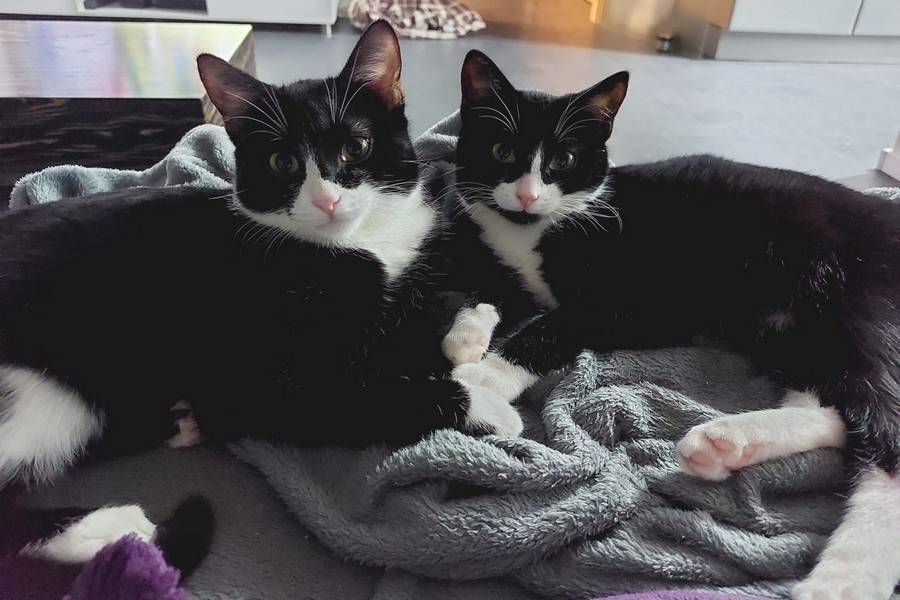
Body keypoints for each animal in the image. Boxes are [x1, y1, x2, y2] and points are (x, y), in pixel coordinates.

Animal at [0, 22, 524, 505]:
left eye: (355, 147)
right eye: (282, 162)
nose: (327, 200)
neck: (364, 241)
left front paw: (468, 333)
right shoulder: (261, 377)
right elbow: (370, 388)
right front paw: (489, 404)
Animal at [440, 50, 900, 600]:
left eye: (564, 161)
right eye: (502, 150)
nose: (528, 195)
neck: (534, 231)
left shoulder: (631, 305)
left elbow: (551, 327)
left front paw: (484, 376)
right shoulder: (515, 276)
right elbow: (493, 288)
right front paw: (465, 334)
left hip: (855, 307)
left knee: (885, 428)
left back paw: (843, 578)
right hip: (792, 331)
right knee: (834, 407)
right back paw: (727, 443)